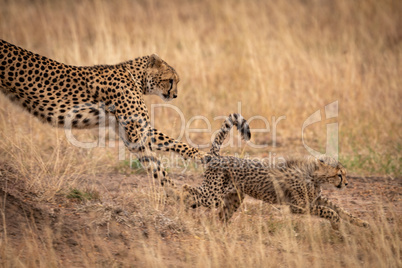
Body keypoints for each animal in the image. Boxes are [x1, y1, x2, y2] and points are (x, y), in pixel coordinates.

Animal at [0, 39, 206, 186]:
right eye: (171, 80)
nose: (175, 95)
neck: (136, 78)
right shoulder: (137, 133)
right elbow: (161, 163)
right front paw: (181, 193)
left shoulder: (128, 131)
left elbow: (164, 152)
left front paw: (200, 159)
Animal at [184, 113, 370, 228]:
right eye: (339, 175)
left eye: (344, 174)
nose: (346, 183)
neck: (313, 175)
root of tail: (218, 156)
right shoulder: (298, 206)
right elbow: (329, 211)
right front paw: (336, 223)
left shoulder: (316, 199)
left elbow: (339, 209)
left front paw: (361, 223)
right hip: (213, 195)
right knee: (186, 189)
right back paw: (182, 204)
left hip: (234, 197)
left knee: (221, 214)